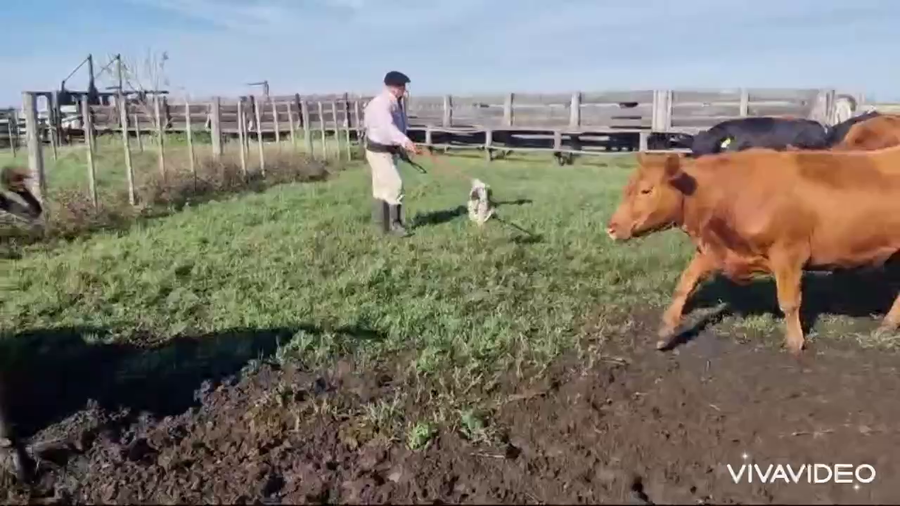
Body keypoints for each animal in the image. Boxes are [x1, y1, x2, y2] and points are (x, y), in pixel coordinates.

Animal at [605, 146, 900, 356]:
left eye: (646, 190)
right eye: (628, 188)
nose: (611, 228)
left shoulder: (788, 253)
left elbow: (789, 302)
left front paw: (795, 342)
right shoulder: (715, 250)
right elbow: (685, 284)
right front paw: (666, 331)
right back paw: (887, 326)